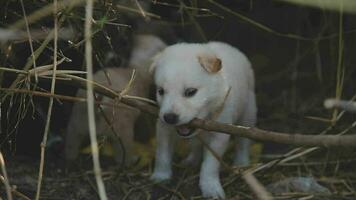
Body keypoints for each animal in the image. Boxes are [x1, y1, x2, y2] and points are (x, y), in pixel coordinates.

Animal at [65, 35, 167, 166]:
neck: (135, 69)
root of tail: (100, 98)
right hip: (121, 127)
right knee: (122, 151)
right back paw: (131, 160)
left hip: (78, 119)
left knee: (72, 140)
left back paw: (70, 157)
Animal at [149, 41, 256, 198]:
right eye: (161, 91)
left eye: (190, 92)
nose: (169, 117)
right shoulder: (164, 128)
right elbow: (162, 153)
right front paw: (161, 176)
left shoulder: (219, 135)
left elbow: (210, 165)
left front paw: (210, 187)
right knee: (196, 144)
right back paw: (192, 160)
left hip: (248, 113)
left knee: (243, 142)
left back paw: (242, 163)